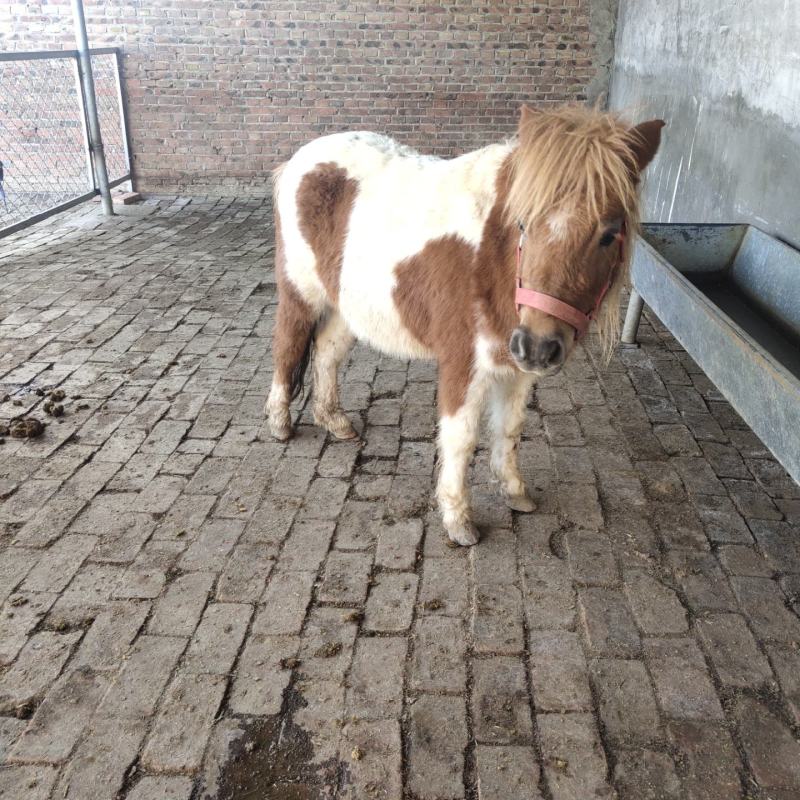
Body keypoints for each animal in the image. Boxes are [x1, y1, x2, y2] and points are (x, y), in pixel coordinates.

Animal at [265, 105, 664, 546]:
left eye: (609, 234)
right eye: (523, 223)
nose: (538, 346)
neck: (492, 259)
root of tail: (301, 159)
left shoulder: (516, 367)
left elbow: (509, 429)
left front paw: (515, 492)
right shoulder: (463, 363)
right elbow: (461, 436)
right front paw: (458, 518)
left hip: (346, 304)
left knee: (327, 352)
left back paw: (334, 420)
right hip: (300, 292)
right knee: (288, 345)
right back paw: (280, 425)